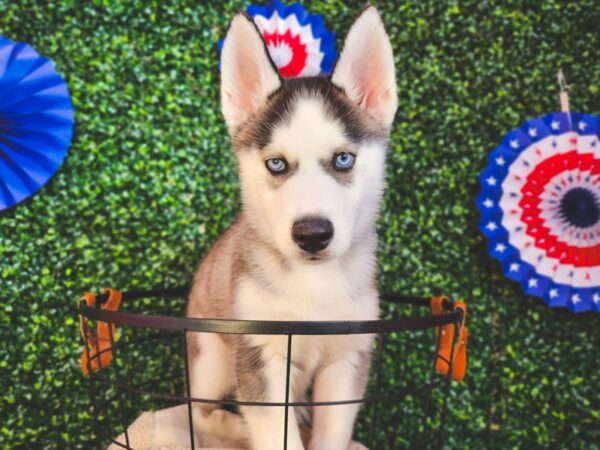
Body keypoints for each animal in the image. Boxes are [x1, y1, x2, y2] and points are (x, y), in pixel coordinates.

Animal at [185, 4, 396, 450]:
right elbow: (272, 432)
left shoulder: (346, 361)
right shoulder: (259, 352)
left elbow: (331, 435)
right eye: (276, 164)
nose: (313, 234)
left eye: (344, 159)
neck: (313, 286)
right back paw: (231, 425)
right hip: (211, 359)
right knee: (194, 412)